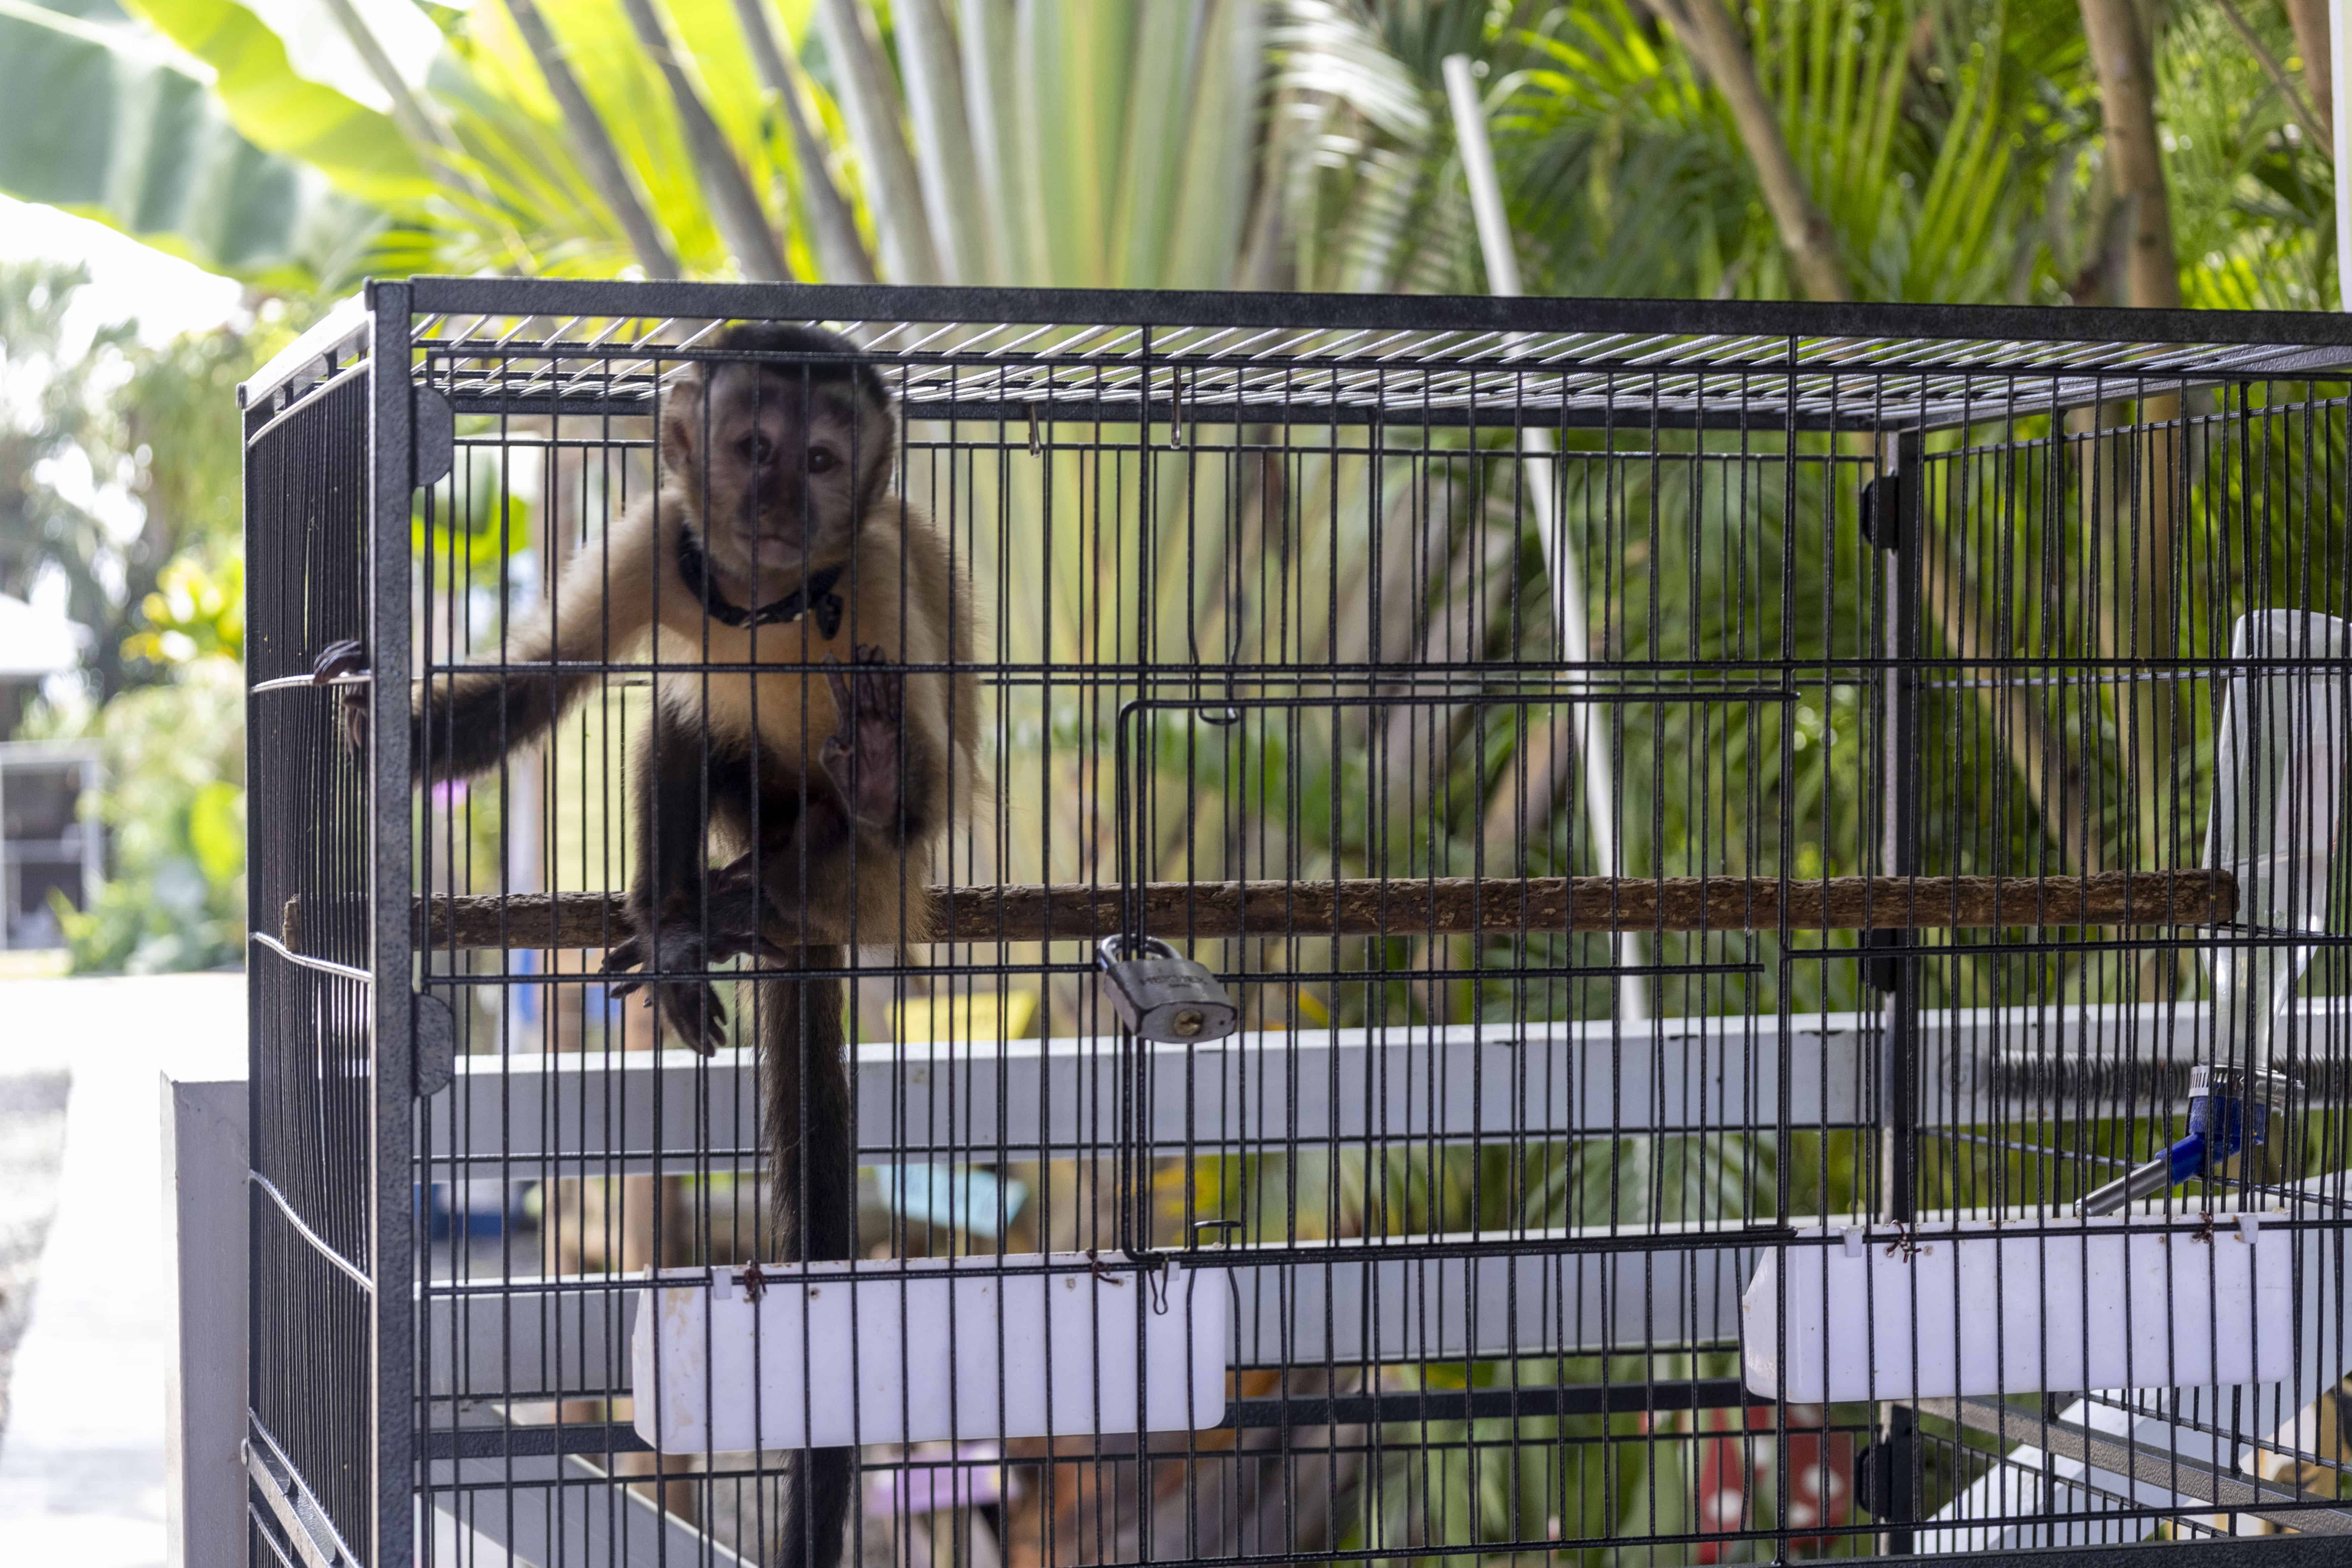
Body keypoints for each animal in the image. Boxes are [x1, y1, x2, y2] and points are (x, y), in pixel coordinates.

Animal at [325, 322, 974, 1568]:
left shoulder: (870, 573)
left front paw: (881, 773)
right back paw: (681, 926)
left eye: (822, 461)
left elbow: (931, 788)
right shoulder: (655, 544)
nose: (777, 504)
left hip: (871, 892)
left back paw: (771, 883)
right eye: (755, 447)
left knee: (856, 832)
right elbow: (544, 684)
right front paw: (384, 714)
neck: (770, 605)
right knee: (679, 716)